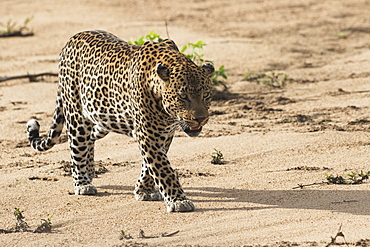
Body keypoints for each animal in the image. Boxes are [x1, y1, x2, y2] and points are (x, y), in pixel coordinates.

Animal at [26, 29, 214, 212]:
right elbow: (163, 168)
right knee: (76, 147)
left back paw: (90, 170)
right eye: (183, 97)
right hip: (77, 116)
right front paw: (178, 201)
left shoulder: (164, 134)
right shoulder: (149, 135)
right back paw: (83, 183)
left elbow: (149, 166)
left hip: (102, 118)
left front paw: (144, 190)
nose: (201, 119)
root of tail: (71, 40)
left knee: (90, 138)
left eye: (206, 95)